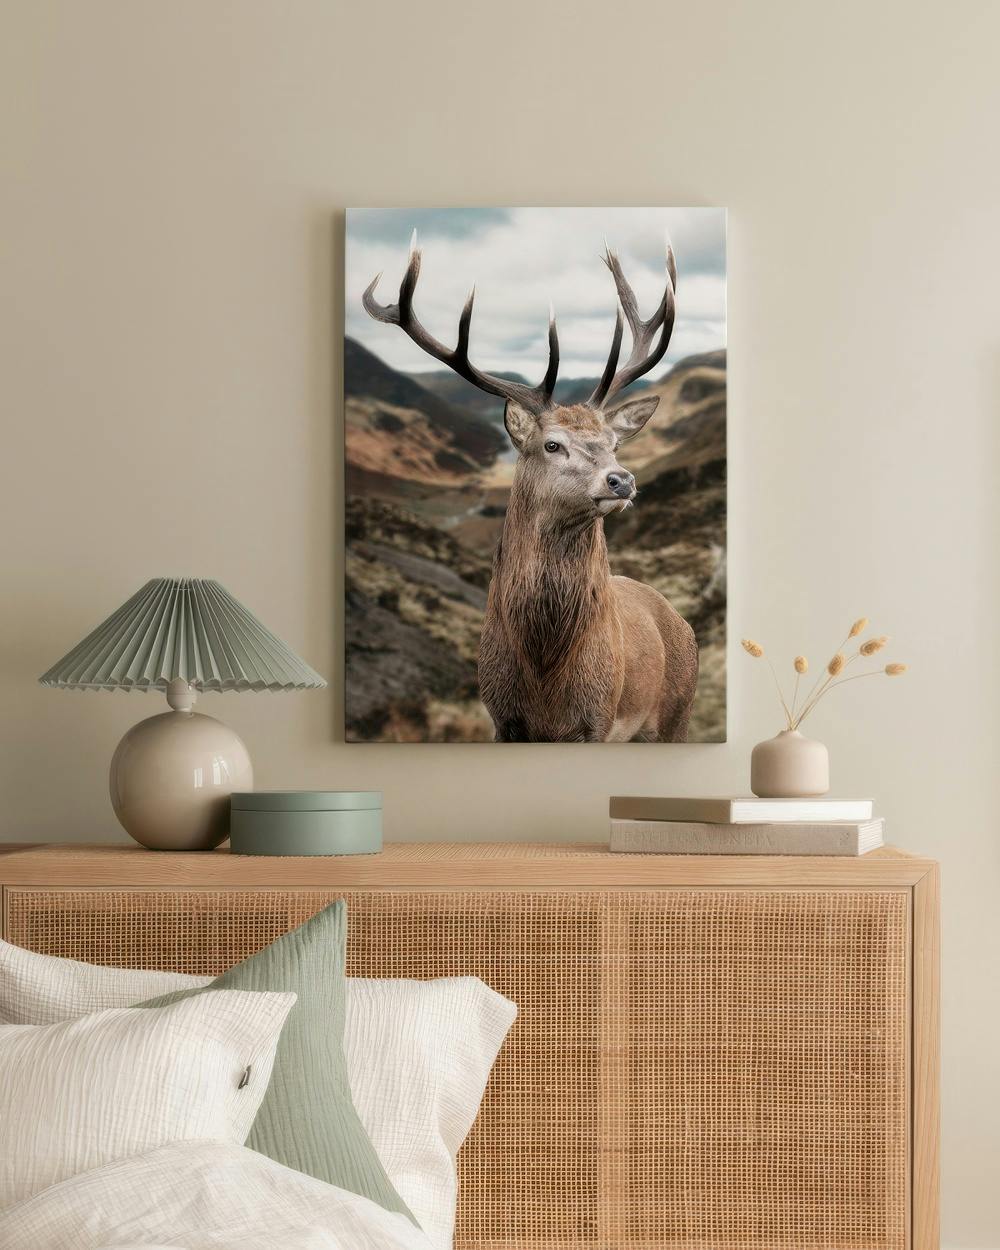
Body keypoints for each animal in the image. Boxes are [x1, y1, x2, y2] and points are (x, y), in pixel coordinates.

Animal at [363, 232, 698, 742]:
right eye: (552, 444)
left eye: (614, 443)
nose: (622, 479)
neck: (544, 679)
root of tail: (680, 620)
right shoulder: (501, 716)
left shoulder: (597, 720)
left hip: (675, 714)